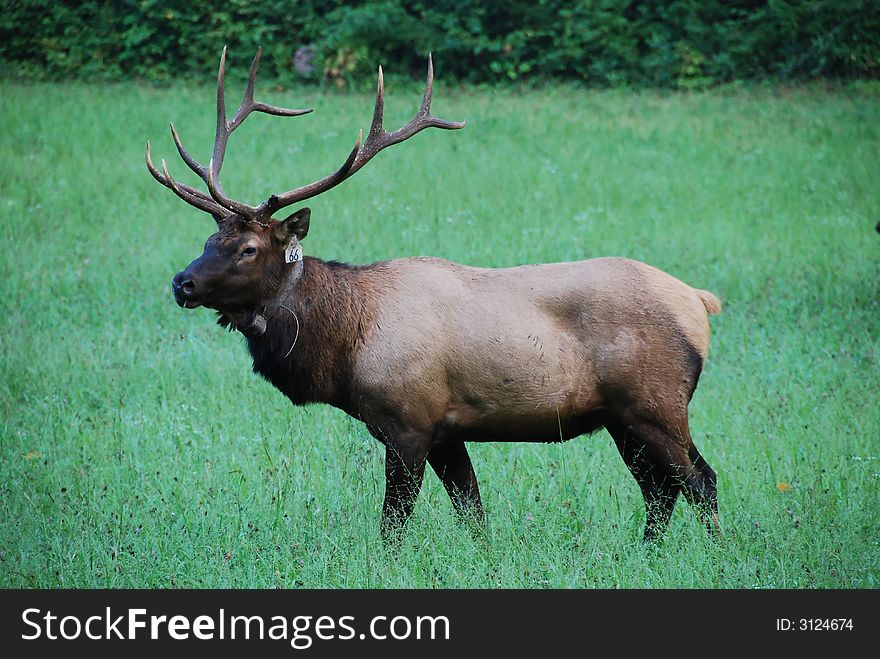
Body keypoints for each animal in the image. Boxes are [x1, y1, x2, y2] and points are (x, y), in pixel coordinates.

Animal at [146, 47, 720, 548]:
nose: (182, 283)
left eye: (247, 248)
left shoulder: (409, 421)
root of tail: (699, 300)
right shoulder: (447, 430)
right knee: (660, 489)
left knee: (700, 482)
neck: (345, 345)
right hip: (621, 417)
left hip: (656, 402)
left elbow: (394, 523)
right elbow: (473, 511)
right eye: (208, 240)